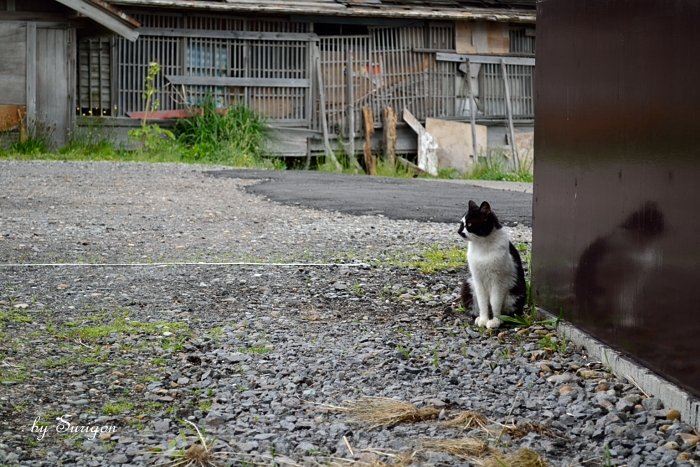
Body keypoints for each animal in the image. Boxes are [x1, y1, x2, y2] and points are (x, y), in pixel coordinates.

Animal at [460, 200, 524, 330]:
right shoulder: (478, 279)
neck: (482, 245)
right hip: (468, 285)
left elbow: (495, 302)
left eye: (469, 224)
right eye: (461, 224)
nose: (459, 232)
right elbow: (483, 302)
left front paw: (495, 321)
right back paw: (478, 317)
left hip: (515, 293)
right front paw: (483, 320)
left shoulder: (498, 281)